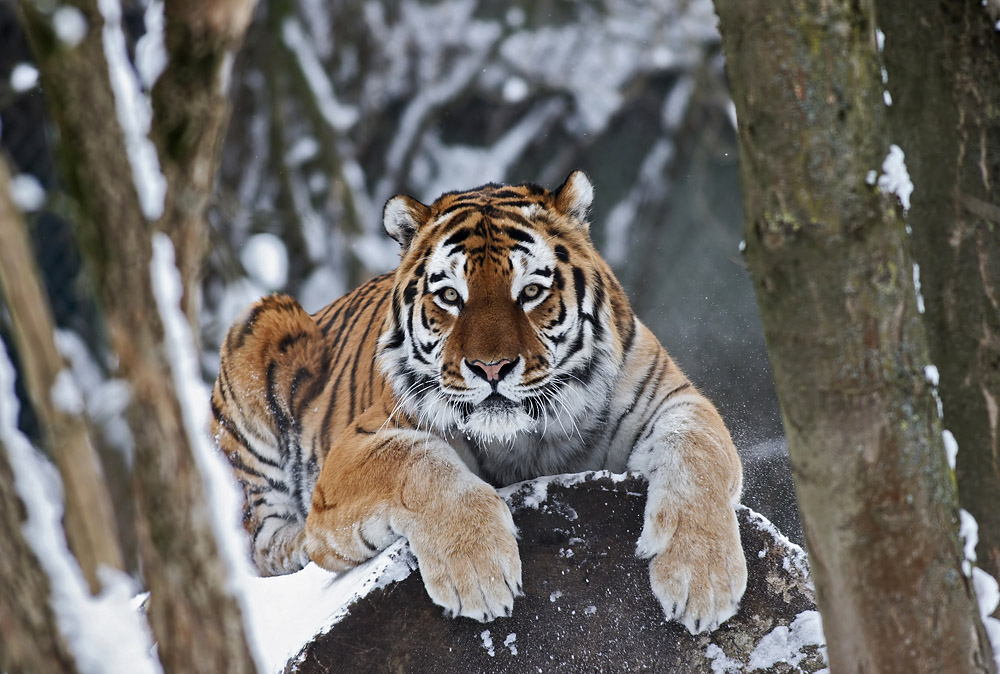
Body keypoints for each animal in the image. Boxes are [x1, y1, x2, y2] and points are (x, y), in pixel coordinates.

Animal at [209, 171, 744, 632]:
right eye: (450, 296)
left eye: (531, 291)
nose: (491, 368)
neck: (525, 438)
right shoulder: (360, 445)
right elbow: (421, 464)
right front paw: (479, 575)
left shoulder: (672, 399)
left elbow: (700, 454)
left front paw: (701, 578)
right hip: (263, 322)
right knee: (264, 543)